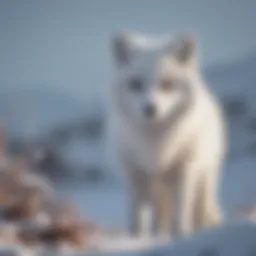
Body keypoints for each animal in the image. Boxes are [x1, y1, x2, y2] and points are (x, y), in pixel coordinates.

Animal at [107, 30, 227, 238]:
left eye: (167, 84)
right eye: (136, 84)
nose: (150, 109)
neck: (157, 144)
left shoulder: (183, 171)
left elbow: (180, 216)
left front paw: (181, 236)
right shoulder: (135, 174)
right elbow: (138, 218)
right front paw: (137, 239)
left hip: (204, 178)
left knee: (198, 210)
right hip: (157, 189)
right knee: (159, 217)